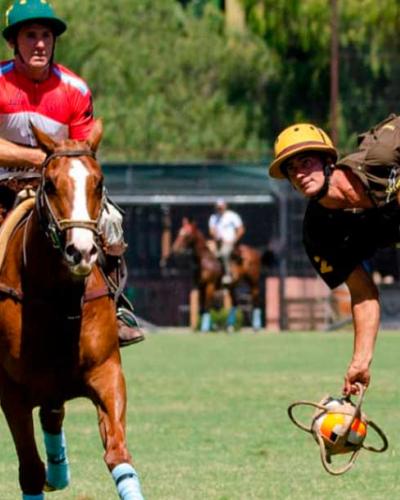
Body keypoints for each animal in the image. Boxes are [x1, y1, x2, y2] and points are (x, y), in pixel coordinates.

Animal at [0, 122, 145, 500]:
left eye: (99, 182)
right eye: (50, 184)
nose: (81, 252)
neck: (60, 299)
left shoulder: (107, 372)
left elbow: (119, 454)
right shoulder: (12, 390)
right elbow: (30, 470)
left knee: (53, 415)